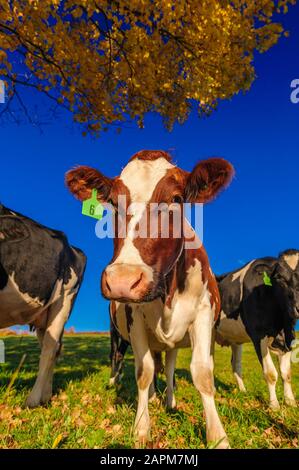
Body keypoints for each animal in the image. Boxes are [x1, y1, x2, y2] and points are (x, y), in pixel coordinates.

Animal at [0, 204, 86, 406]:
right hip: (43, 316)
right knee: (52, 346)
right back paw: (46, 396)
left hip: (64, 299)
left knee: (49, 347)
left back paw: (33, 400)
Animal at [67, 148, 236, 448]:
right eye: (113, 202)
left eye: (177, 200)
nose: (122, 280)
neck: (166, 293)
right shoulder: (134, 320)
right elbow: (143, 372)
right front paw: (141, 428)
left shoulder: (203, 314)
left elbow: (202, 373)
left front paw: (218, 435)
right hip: (116, 332)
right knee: (120, 357)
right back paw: (121, 385)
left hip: (172, 342)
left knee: (167, 367)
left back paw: (168, 400)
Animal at [214, 250, 298, 412]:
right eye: (279, 278)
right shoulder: (258, 335)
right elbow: (271, 373)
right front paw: (274, 405)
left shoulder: (287, 337)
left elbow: (287, 373)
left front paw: (290, 402)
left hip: (235, 339)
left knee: (236, 364)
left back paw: (242, 391)